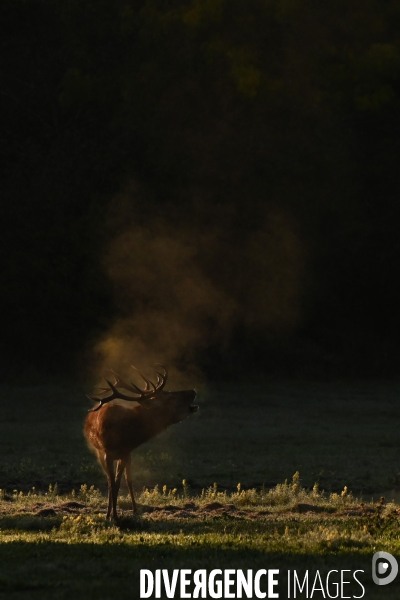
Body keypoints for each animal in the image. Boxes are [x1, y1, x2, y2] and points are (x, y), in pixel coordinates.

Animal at [85, 364, 198, 524]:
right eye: (171, 397)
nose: (193, 391)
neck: (124, 431)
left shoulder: (125, 452)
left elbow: (119, 483)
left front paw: (115, 515)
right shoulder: (107, 453)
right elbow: (112, 483)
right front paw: (112, 516)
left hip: (126, 455)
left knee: (127, 480)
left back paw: (133, 509)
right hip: (100, 452)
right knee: (110, 480)